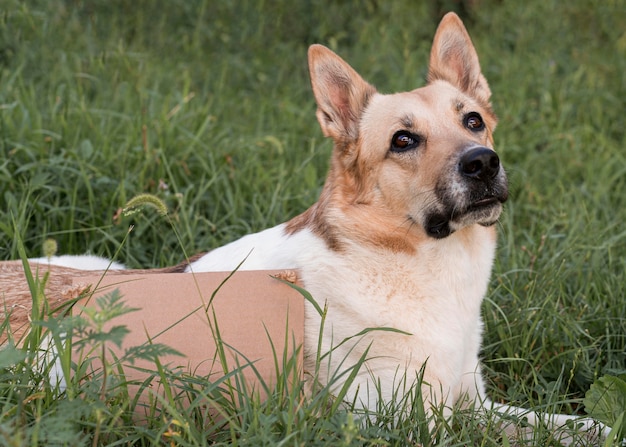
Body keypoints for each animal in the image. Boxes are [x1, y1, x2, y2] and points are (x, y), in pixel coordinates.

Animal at [25, 12, 604, 446]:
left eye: (473, 121)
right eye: (402, 140)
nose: (482, 163)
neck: (419, 264)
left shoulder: (472, 400)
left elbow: (571, 425)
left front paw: (593, 426)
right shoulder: (397, 420)